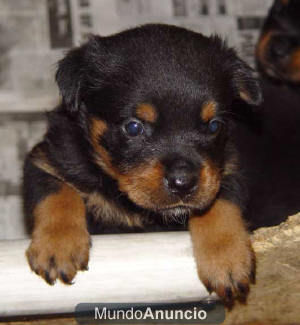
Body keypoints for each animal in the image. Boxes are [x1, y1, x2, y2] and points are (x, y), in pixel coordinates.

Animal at [24, 24, 262, 306]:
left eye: (214, 125)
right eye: (133, 127)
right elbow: (58, 192)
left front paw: (227, 260)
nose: (183, 182)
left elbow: (220, 204)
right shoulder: (46, 160)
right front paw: (58, 247)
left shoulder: (228, 170)